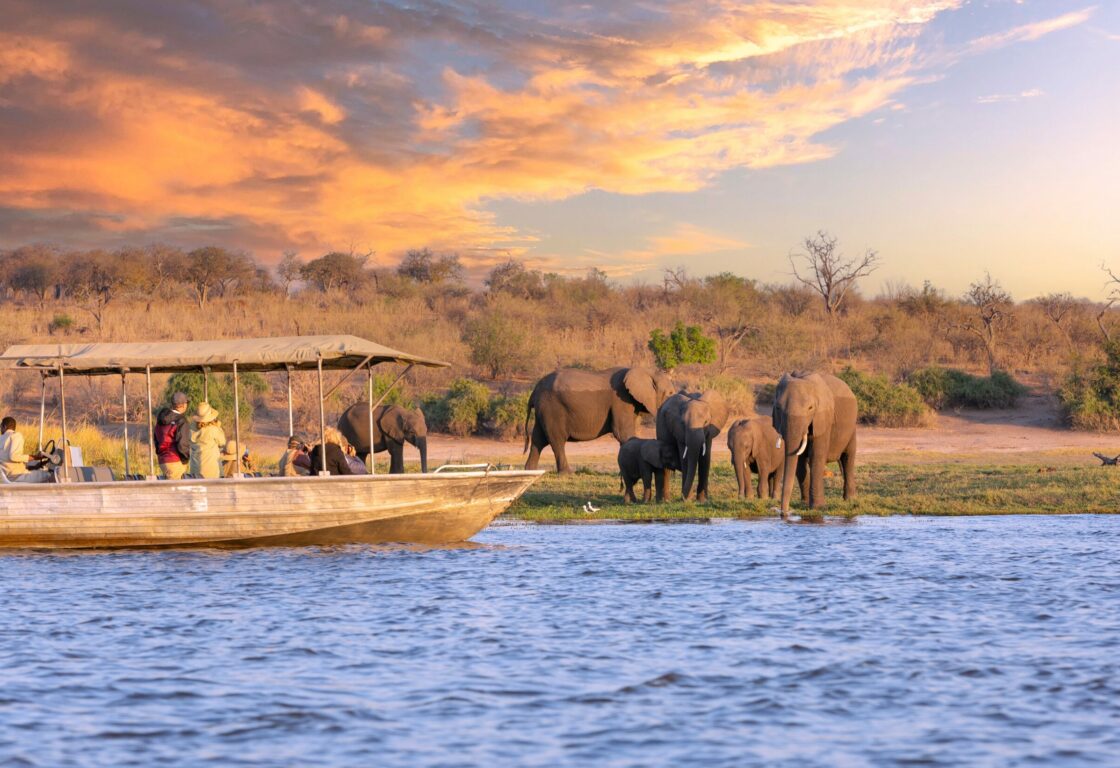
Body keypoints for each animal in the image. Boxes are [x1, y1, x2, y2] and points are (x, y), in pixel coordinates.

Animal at [524, 367, 675, 473]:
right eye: (670, 394)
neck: (645, 370)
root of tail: (534, 391)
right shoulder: (620, 400)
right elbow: (622, 433)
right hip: (552, 408)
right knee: (557, 440)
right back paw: (567, 473)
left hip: (543, 410)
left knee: (538, 439)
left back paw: (530, 471)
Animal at [772, 372, 858, 516]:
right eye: (778, 408)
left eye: (810, 408)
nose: (784, 513)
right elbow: (800, 462)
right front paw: (804, 504)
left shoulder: (823, 419)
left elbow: (816, 457)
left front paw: (818, 508)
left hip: (852, 427)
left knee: (848, 458)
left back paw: (850, 500)